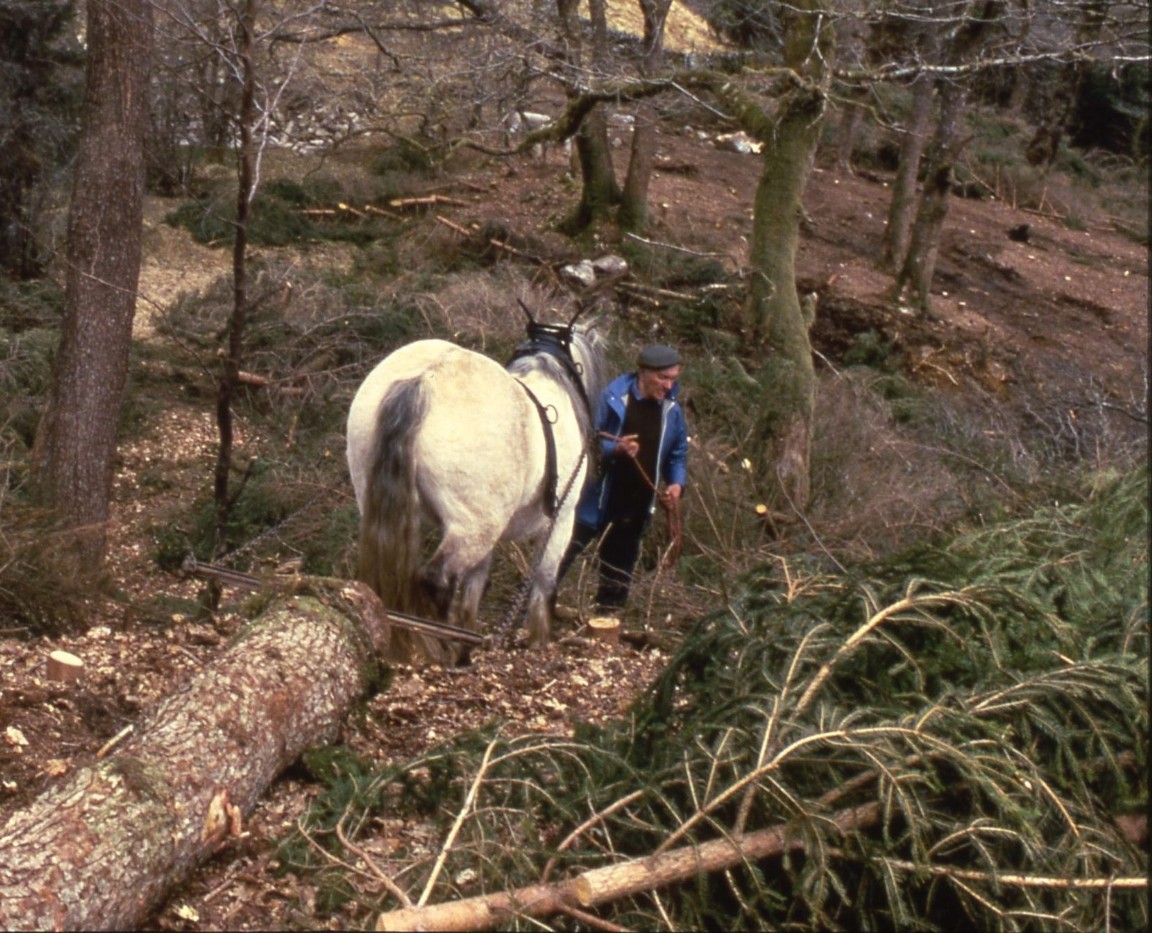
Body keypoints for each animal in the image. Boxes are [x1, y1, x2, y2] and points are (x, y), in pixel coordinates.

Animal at [346, 314, 608, 663]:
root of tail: (425, 380)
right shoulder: (562, 520)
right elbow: (545, 583)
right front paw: (539, 641)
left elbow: (475, 586)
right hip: (475, 527)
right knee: (437, 580)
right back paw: (446, 646)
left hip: (384, 506)